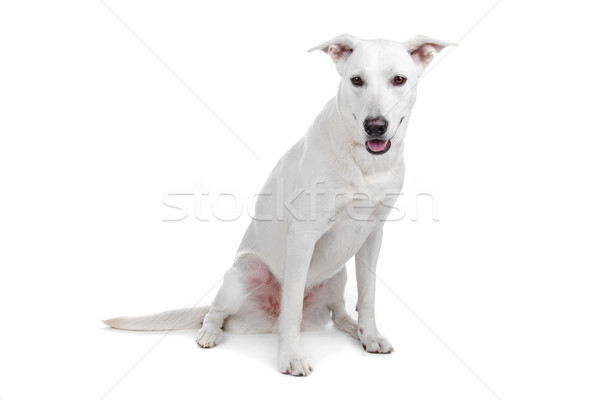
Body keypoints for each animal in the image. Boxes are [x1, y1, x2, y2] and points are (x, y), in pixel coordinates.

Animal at [103, 33, 452, 376]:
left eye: (399, 79)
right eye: (357, 80)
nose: (375, 126)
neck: (364, 161)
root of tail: (264, 321)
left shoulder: (372, 235)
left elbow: (368, 296)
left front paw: (371, 335)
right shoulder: (303, 235)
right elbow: (292, 307)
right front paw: (292, 356)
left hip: (337, 275)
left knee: (338, 314)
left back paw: (354, 329)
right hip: (245, 273)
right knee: (216, 313)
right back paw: (210, 332)